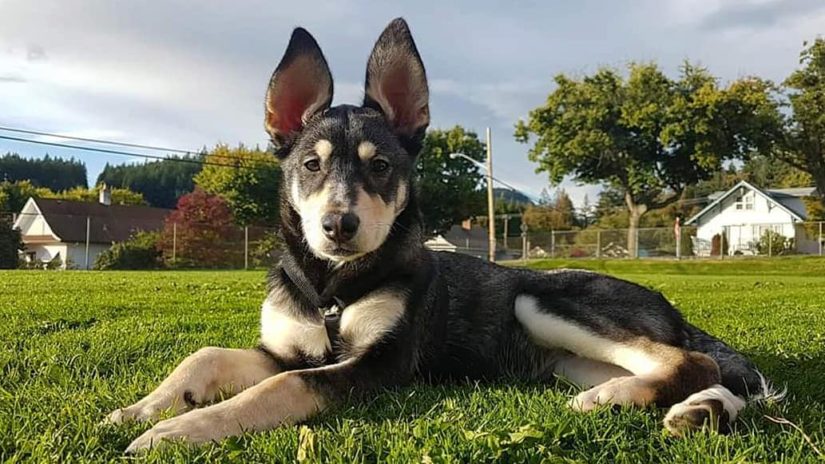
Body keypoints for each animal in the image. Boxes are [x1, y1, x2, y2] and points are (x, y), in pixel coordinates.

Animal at [106, 19, 776, 454]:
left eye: (381, 166)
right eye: (311, 165)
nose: (338, 226)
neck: (331, 286)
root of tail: (670, 305)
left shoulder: (377, 364)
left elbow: (277, 388)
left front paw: (174, 432)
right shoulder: (289, 347)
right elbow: (207, 355)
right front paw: (139, 408)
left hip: (540, 300)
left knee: (688, 359)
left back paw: (631, 402)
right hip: (566, 361)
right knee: (706, 373)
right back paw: (692, 409)